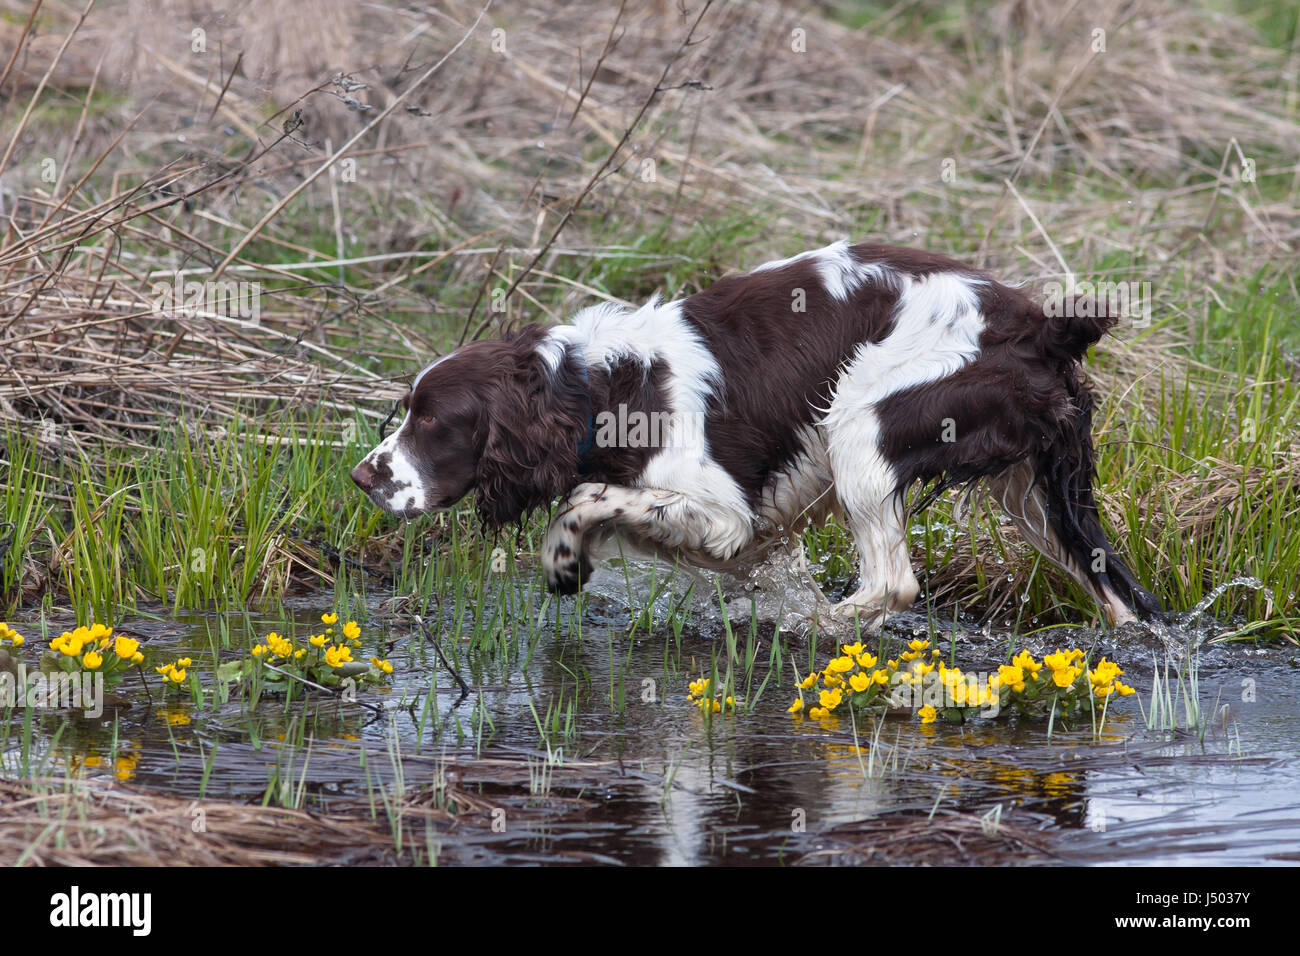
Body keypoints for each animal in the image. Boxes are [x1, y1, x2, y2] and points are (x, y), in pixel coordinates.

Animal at [351, 239, 1164, 629]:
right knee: (1119, 599)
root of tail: (1041, 324)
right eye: (409, 407)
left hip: (859, 424)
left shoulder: (726, 514)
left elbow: (586, 498)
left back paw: (820, 630)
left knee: (892, 583)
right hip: (1044, 493)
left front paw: (563, 562)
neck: (602, 389)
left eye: (433, 420)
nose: (363, 477)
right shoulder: (748, 536)